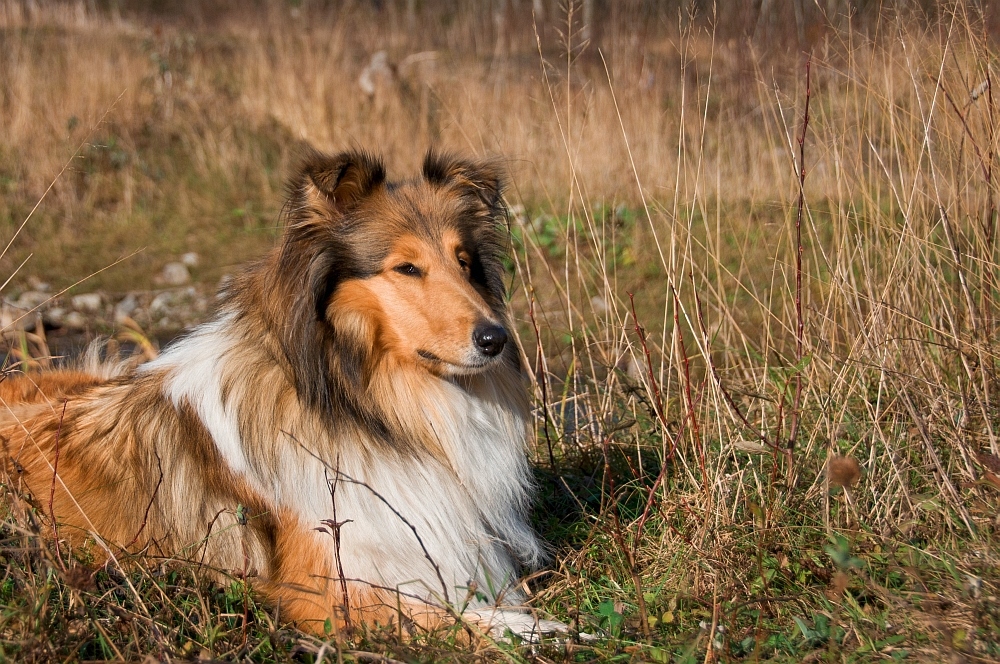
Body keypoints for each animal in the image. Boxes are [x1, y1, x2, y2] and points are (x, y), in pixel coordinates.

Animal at [0, 149, 564, 640]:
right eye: (406, 268)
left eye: (465, 262)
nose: (496, 339)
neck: (367, 407)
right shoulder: (330, 593)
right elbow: (462, 620)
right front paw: (543, 633)